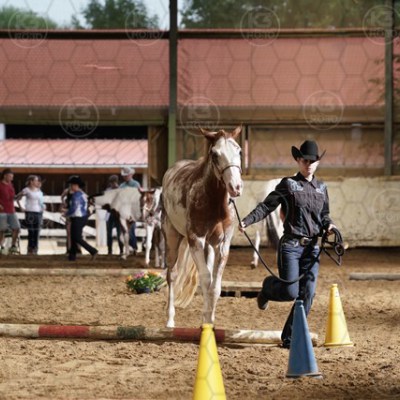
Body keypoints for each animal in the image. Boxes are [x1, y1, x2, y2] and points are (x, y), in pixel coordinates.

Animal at [161, 126, 243, 328]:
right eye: (215, 154)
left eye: (239, 151)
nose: (236, 187)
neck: (214, 201)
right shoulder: (196, 241)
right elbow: (206, 280)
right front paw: (206, 321)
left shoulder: (222, 245)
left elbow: (215, 285)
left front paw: (209, 321)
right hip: (172, 237)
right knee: (172, 274)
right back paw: (170, 320)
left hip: (209, 247)